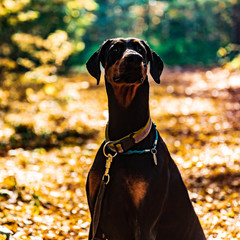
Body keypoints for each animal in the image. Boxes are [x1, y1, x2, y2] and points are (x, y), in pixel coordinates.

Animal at [85, 37, 205, 240]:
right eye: (115, 49)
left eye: (141, 49)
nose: (134, 58)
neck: (122, 146)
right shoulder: (95, 219)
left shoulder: (145, 223)